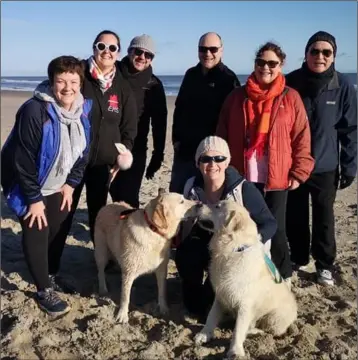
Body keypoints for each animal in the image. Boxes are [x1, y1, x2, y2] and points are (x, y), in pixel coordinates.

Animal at [95, 188, 200, 324]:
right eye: (181, 201)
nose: (200, 204)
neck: (153, 230)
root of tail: (107, 205)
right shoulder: (129, 271)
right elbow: (125, 296)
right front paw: (122, 315)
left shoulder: (162, 269)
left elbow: (162, 291)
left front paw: (164, 308)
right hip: (101, 252)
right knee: (100, 271)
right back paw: (103, 289)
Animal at [194, 201, 298, 358]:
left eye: (218, 206)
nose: (198, 204)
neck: (232, 250)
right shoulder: (221, 293)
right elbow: (211, 315)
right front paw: (204, 334)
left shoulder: (245, 304)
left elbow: (238, 329)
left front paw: (235, 351)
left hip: (274, 317)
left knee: (266, 330)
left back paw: (254, 331)